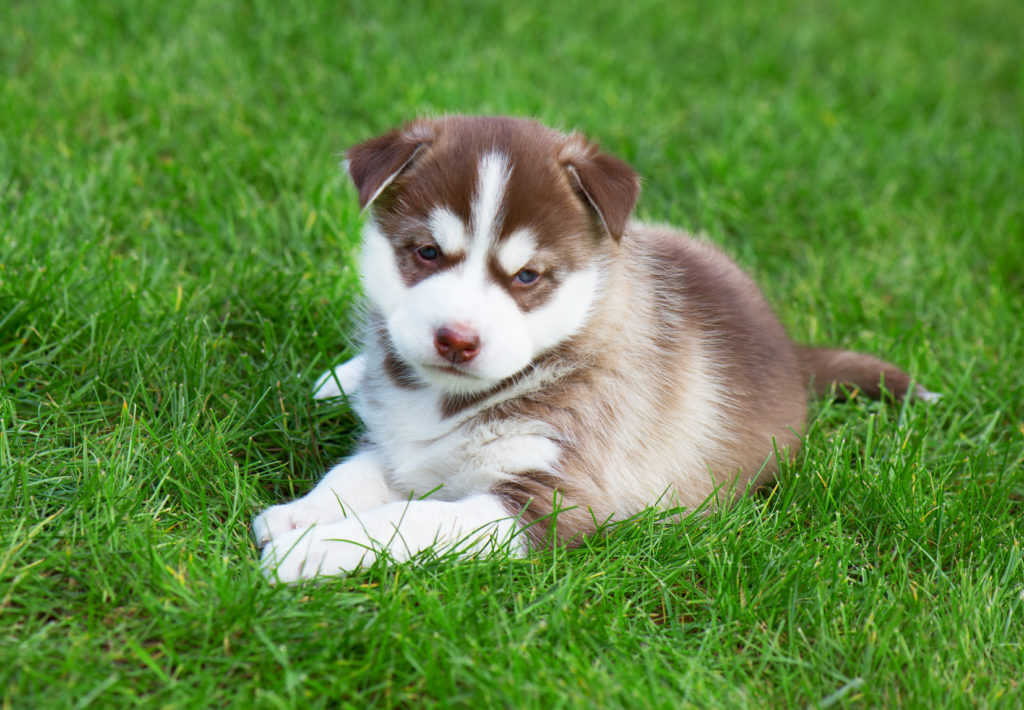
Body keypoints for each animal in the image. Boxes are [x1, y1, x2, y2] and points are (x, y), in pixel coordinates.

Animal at [249, 114, 937, 581]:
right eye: (426, 252)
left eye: (528, 276)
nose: (457, 339)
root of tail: (789, 350)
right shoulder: (396, 443)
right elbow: (354, 472)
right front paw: (302, 514)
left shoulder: (550, 502)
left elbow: (413, 519)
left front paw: (315, 549)